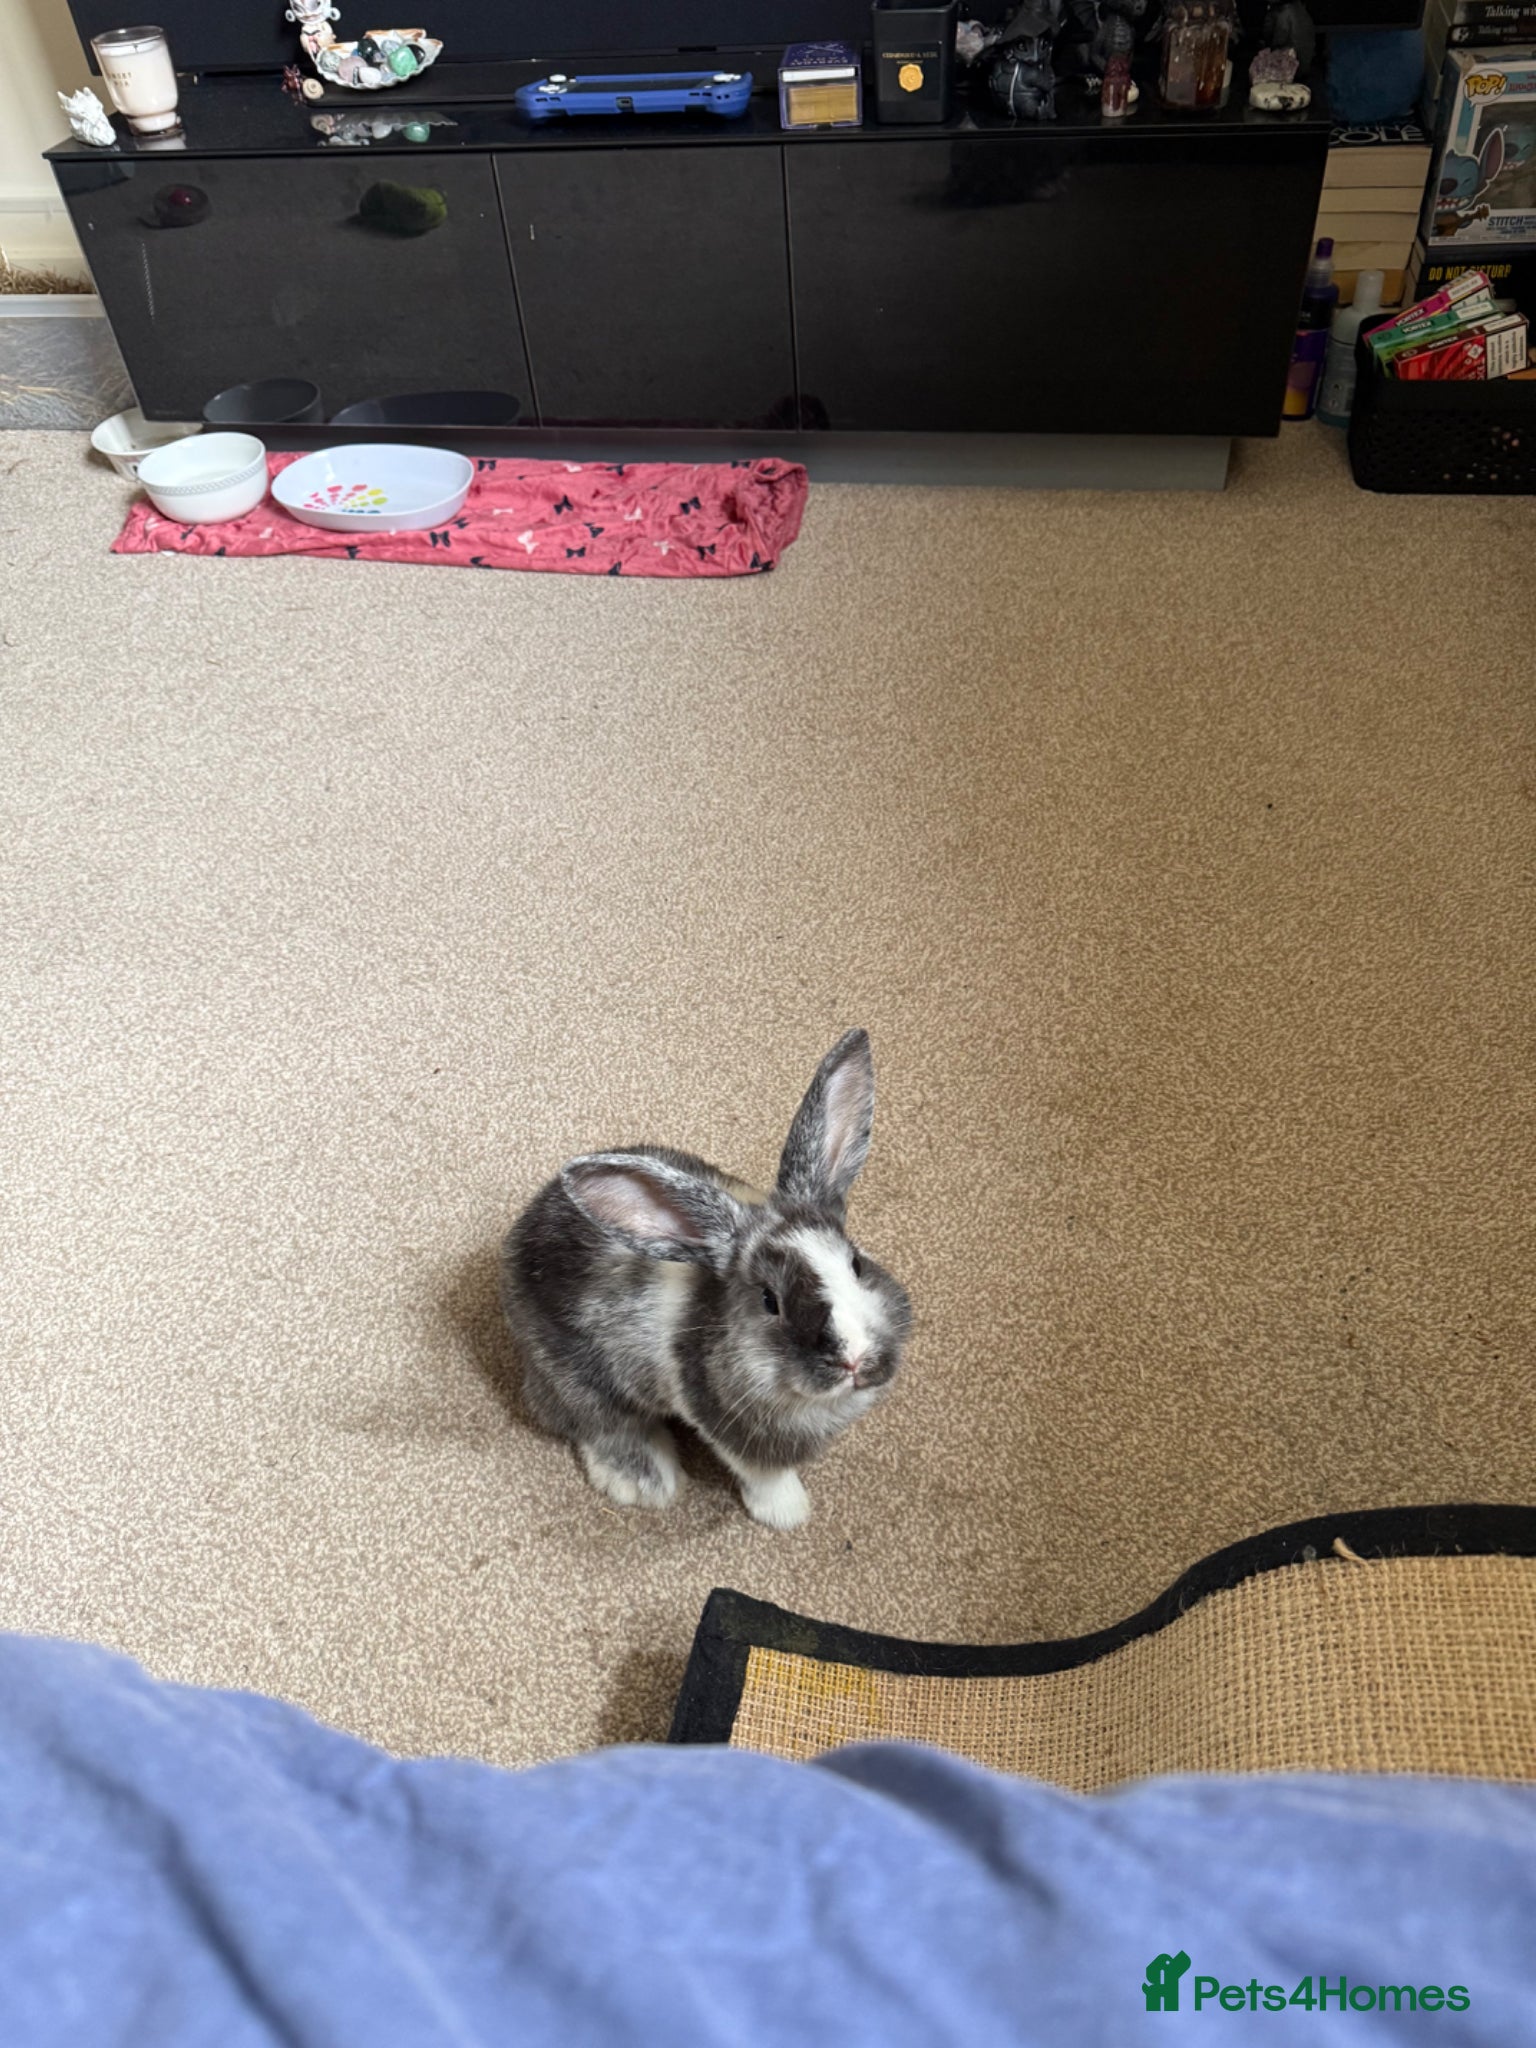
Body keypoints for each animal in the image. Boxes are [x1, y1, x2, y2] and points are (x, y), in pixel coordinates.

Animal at [500, 1029, 911, 1530]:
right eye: (770, 1301)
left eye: (855, 1264)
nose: (855, 1359)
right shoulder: (730, 1428)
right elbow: (765, 1475)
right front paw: (789, 1515)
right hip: (581, 1383)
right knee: (598, 1424)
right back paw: (644, 1482)